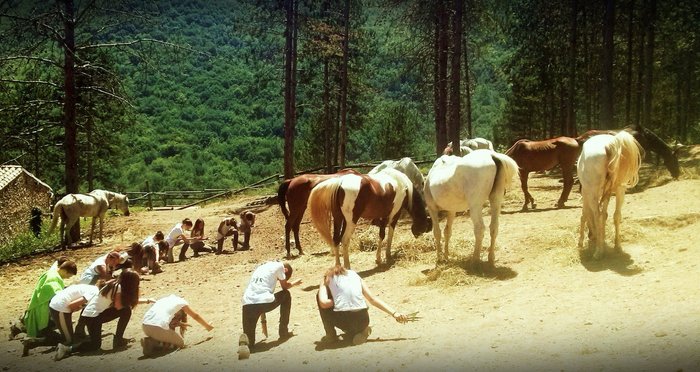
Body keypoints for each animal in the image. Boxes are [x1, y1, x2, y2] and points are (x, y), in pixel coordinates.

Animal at [576, 132, 644, 260]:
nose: (591, 236)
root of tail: (609, 145)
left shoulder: (586, 192)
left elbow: (585, 215)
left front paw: (581, 242)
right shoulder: (606, 194)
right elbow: (605, 214)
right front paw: (602, 238)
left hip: (594, 192)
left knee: (597, 215)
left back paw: (599, 251)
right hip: (620, 189)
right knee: (616, 215)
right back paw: (617, 246)